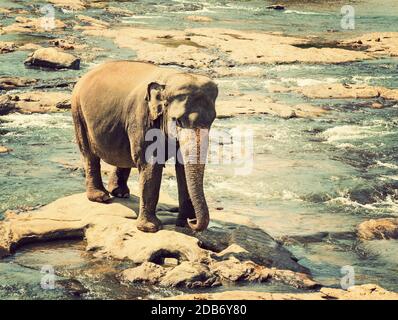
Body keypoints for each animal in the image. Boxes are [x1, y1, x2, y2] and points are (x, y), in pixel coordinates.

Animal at [70, 60, 218, 232]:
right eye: (178, 121)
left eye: (211, 121)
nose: (192, 221)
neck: (168, 80)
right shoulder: (142, 117)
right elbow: (150, 164)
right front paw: (150, 228)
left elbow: (181, 167)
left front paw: (183, 225)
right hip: (78, 111)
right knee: (89, 154)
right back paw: (101, 197)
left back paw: (120, 193)